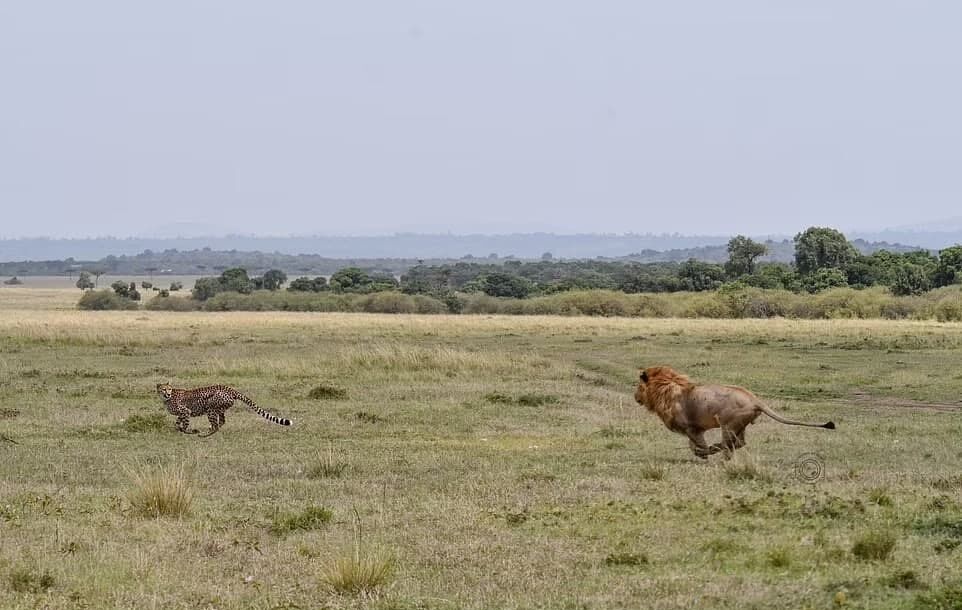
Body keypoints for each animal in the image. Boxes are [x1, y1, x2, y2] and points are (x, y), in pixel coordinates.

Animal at [632, 364, 832, 458]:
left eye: (638, 387)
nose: (635, 397)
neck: (665, 388)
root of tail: (755, 400)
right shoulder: (696, 429)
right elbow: (693, 445)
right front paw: (702, 453)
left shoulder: (691, 428)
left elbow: (697, 445)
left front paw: (703, 454)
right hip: (739, 426)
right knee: (739, 443)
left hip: (727, 425)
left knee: (728, 444)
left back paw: (716, 451)